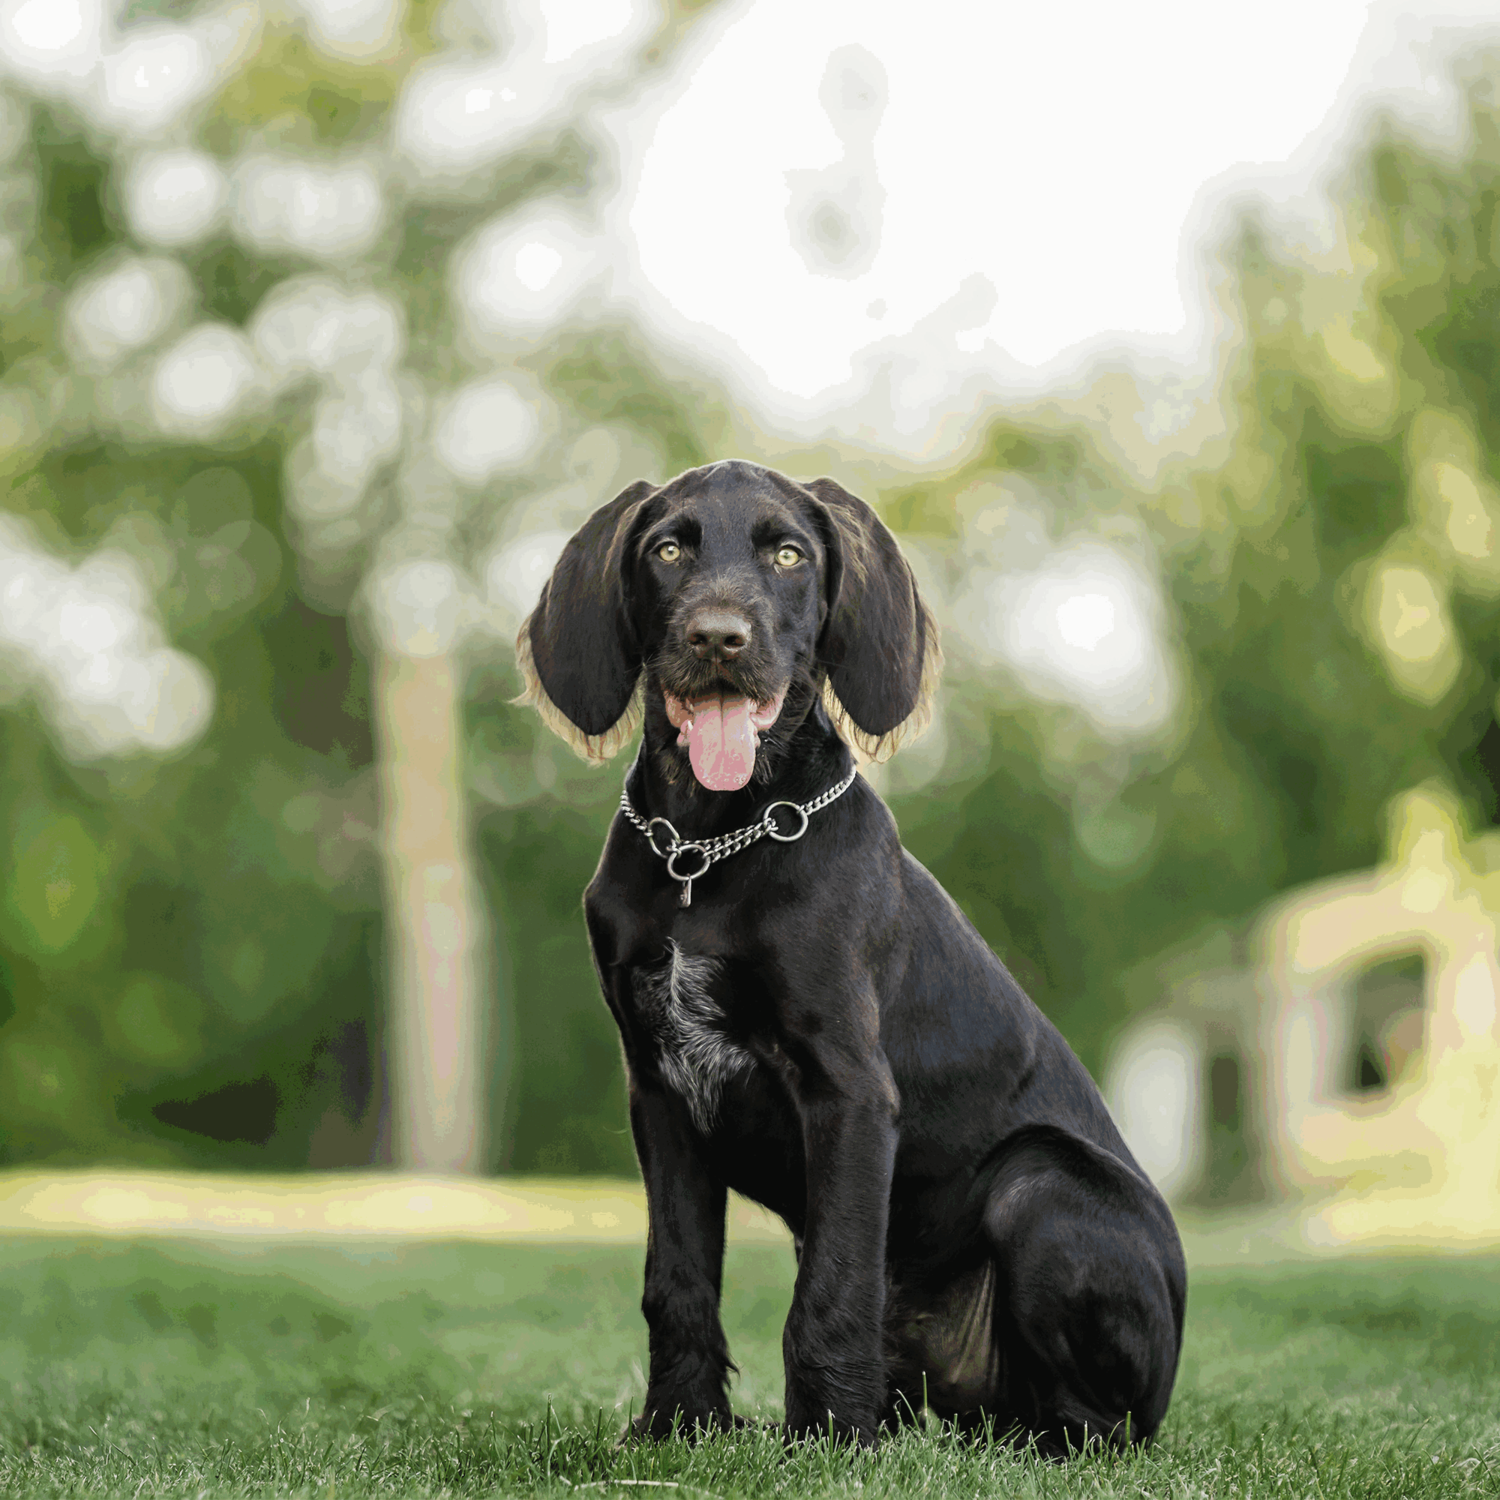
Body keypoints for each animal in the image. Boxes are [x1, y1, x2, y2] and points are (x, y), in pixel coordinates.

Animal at [522, 459, 1188, 1452]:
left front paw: (830, 1439)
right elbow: (677, 1284)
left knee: (1096, 1426)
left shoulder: (849, 1088)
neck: (705, 850)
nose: (719, 637)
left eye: (789, 555)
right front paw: (682, 1426)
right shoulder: (662, 1098)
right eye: (668, 549)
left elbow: (830, 1291)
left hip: (1040, 1185)